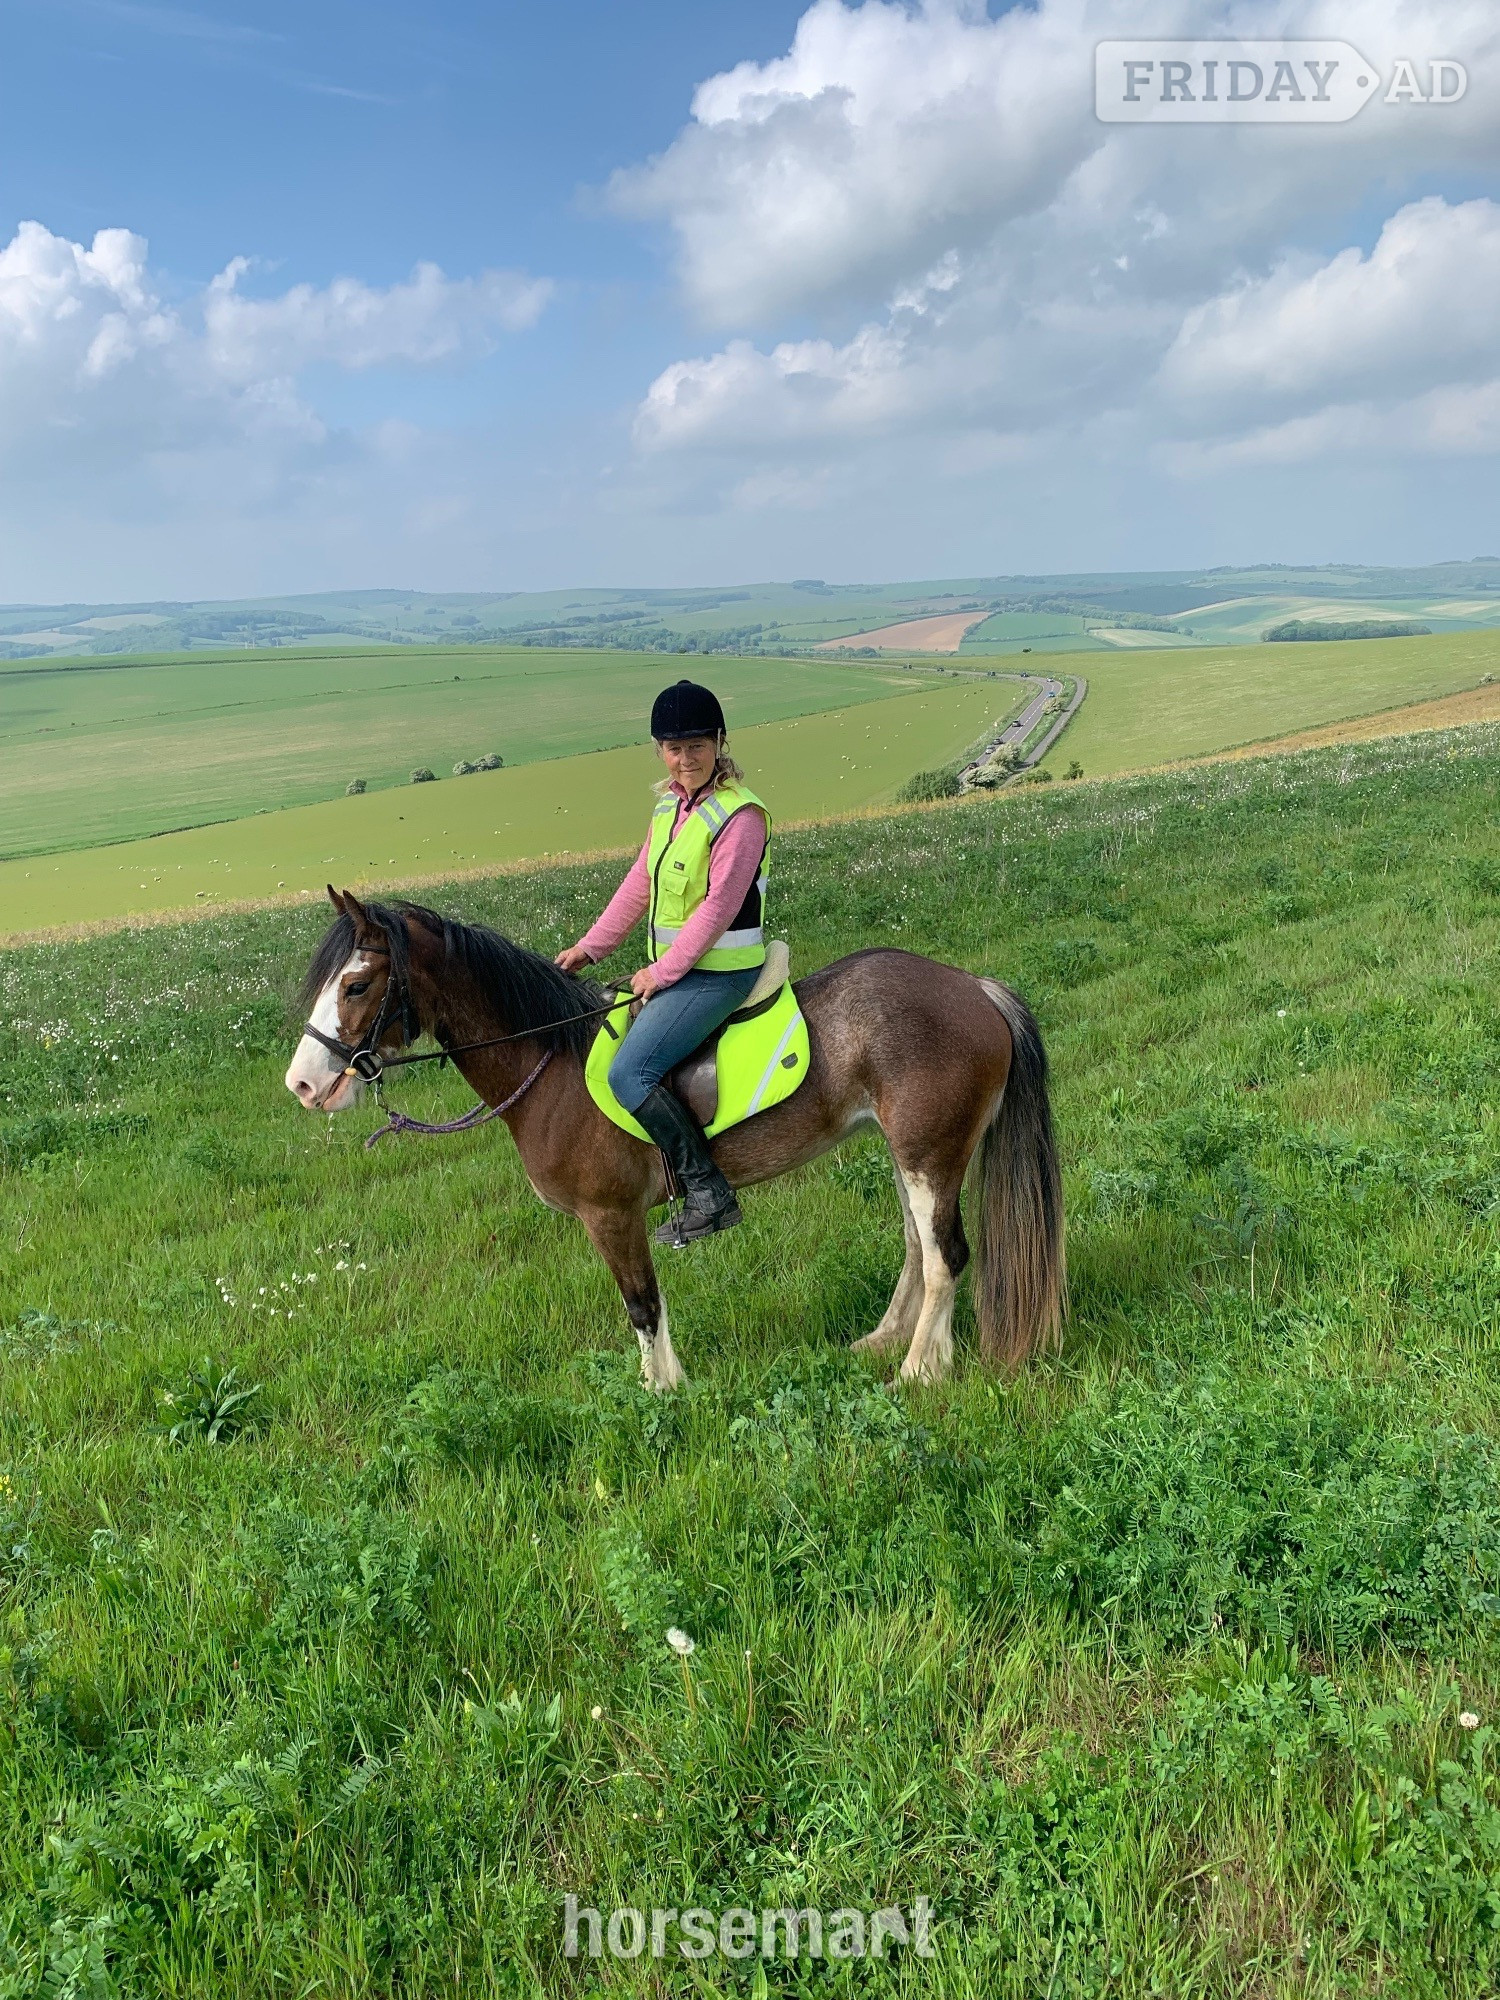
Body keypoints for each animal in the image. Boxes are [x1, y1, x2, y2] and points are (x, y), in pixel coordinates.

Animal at [285, 888, 1065, 1390]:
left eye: (356, 985)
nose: (303, 1085)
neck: (550, 1062)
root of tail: (974, 987)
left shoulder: (610, 1216)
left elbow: (642, 1303)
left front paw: (663, 1391)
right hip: (910, 1153)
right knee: (919, 1249)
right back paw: (884, 1343)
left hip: (929, 1153)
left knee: (946, 1257)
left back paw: (920, 1372)